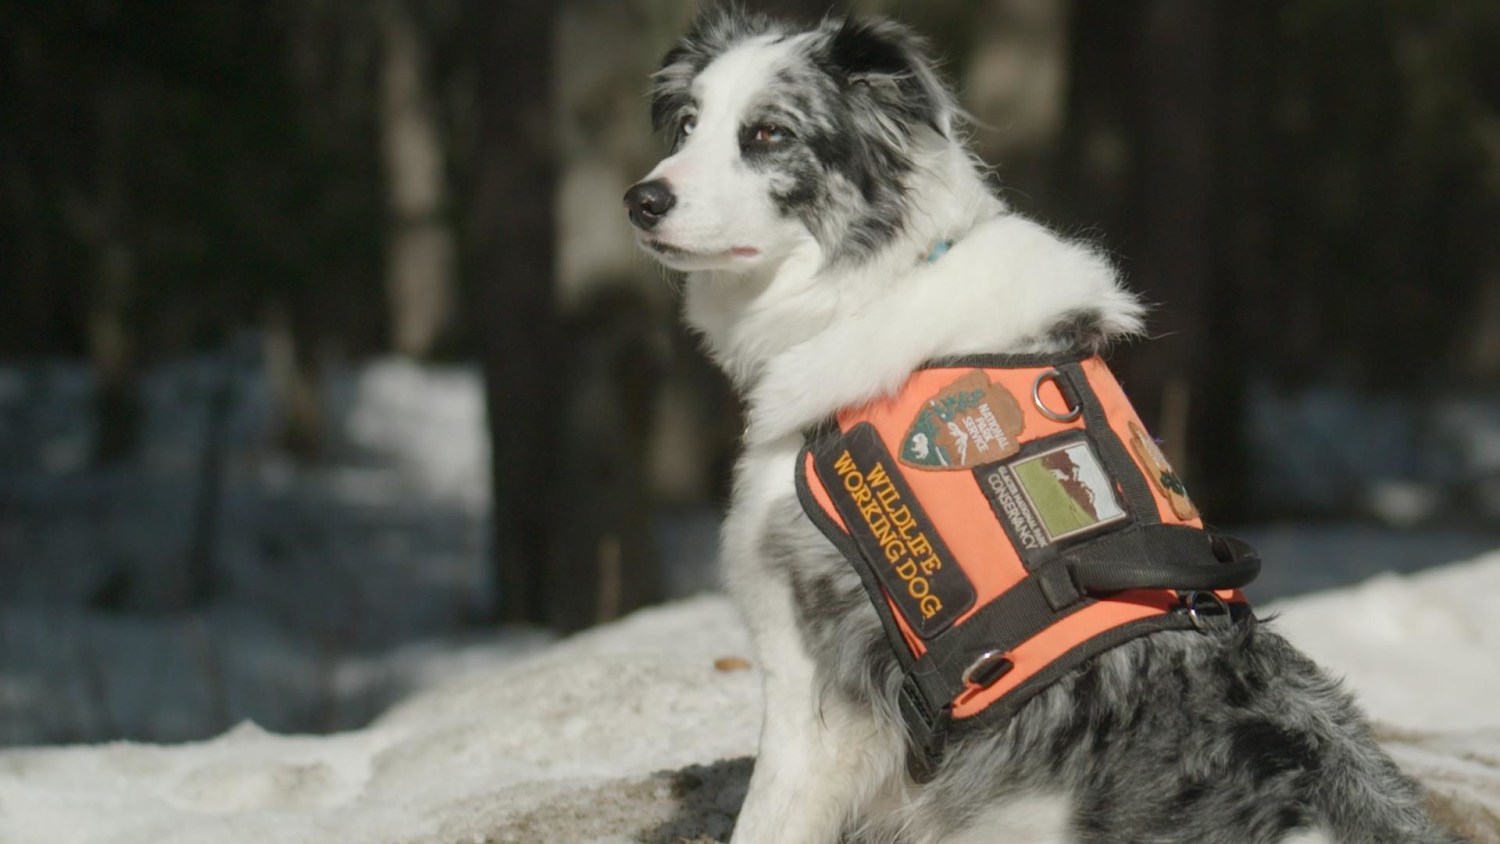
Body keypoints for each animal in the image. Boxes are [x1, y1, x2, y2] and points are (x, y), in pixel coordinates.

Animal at [618, 8, 1452, 844]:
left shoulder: (812, 681)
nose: (641, 199)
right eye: (688, 124)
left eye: (767, 134)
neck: (873, 282)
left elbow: (769, 817)